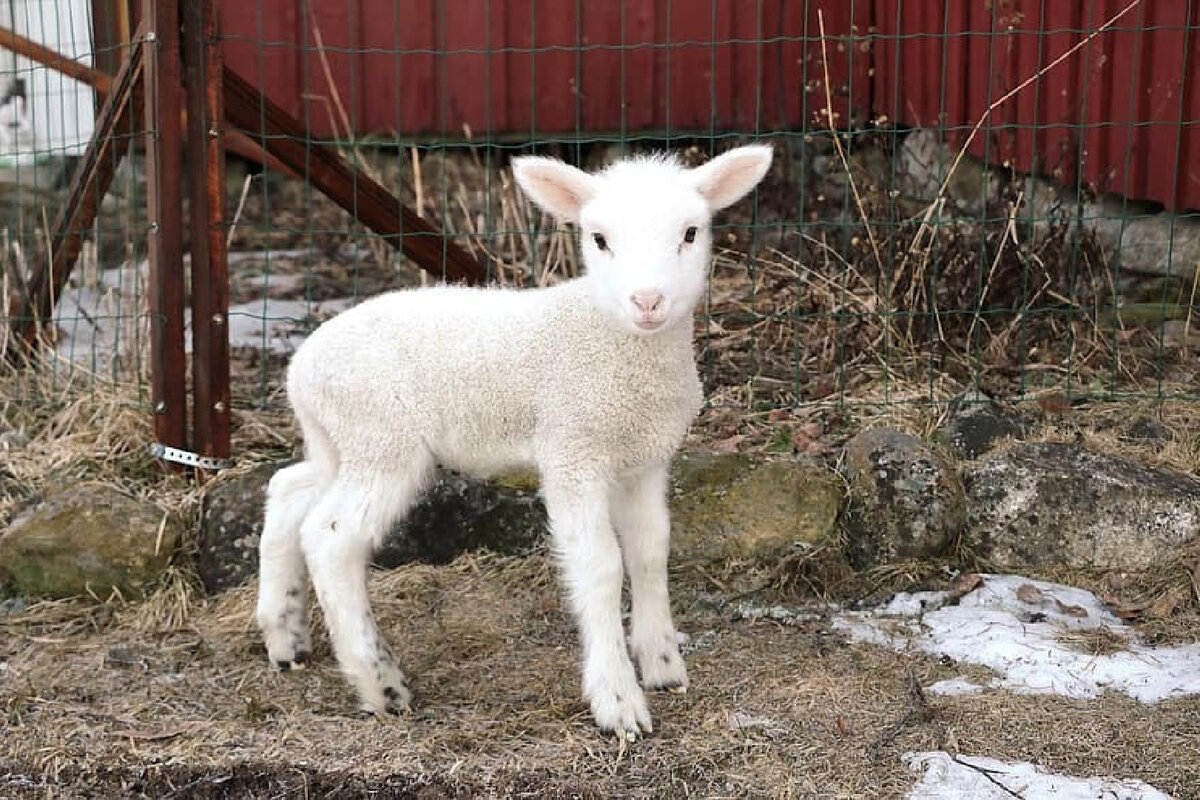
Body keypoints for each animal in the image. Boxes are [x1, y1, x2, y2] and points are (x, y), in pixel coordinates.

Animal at [256, 143, 772, 738]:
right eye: (599, 239)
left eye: (690, 232)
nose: (647, 301)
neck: (612, 340)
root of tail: (301, 368)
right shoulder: (572, 450)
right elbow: (601, 564)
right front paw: (618, 700)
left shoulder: (645, 457)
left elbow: (650, 550)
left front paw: (663, 664)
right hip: (382, 438)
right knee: (331, 536)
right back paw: (379, 683)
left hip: (338, 441)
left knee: (289, 489)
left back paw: (284, 635)